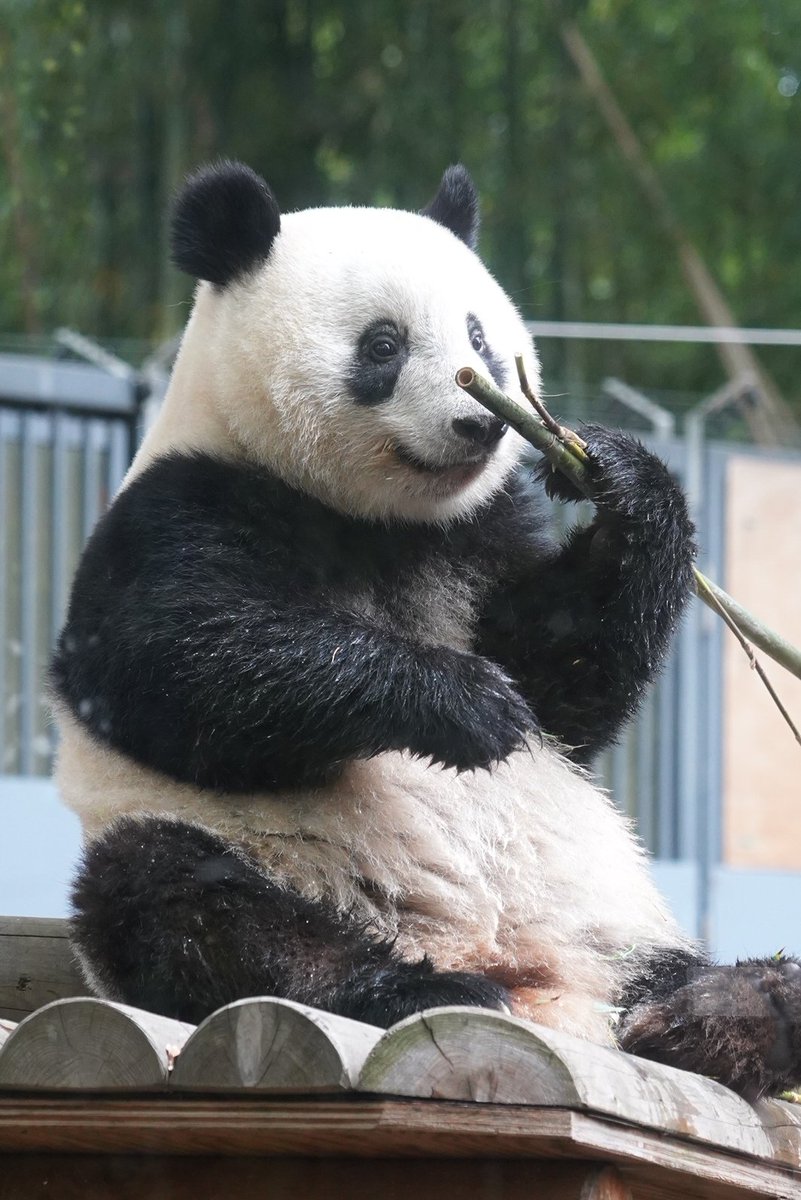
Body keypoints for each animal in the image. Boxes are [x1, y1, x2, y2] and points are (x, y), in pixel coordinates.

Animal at [51, 164, 801, 1099]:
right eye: (383, 345)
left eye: (480, 336)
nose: (479, 420)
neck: (377, 518)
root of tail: (537, 984)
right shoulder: (178, 508)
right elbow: (174, 664)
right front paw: (460, 704)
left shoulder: (480, 535)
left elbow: (564, 684)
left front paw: (617, 477)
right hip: (260, 857)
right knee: (185, 901)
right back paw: (417, 987)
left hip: (611, 923)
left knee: (677, 971)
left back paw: (727, 1012)